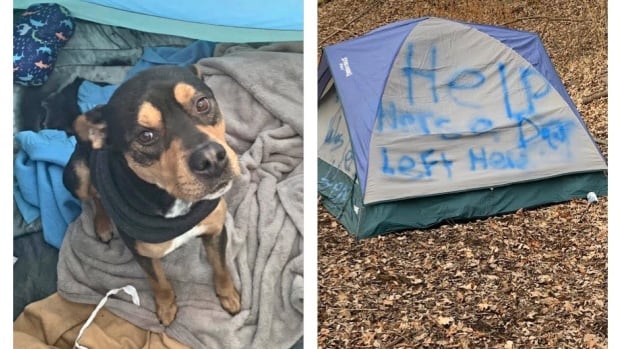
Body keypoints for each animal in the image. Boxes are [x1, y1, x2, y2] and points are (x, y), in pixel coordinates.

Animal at [63, 64, 241, 324]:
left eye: (202, 104)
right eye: (145, 136)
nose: (211, 160)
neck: (176, 203)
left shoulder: (215, 230)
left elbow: (221, 268)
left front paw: (229, 295)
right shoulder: (143, 253)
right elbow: (159, 281)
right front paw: (166, 308)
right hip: (77, 177)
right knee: (95, 196)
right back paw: (103, 224)